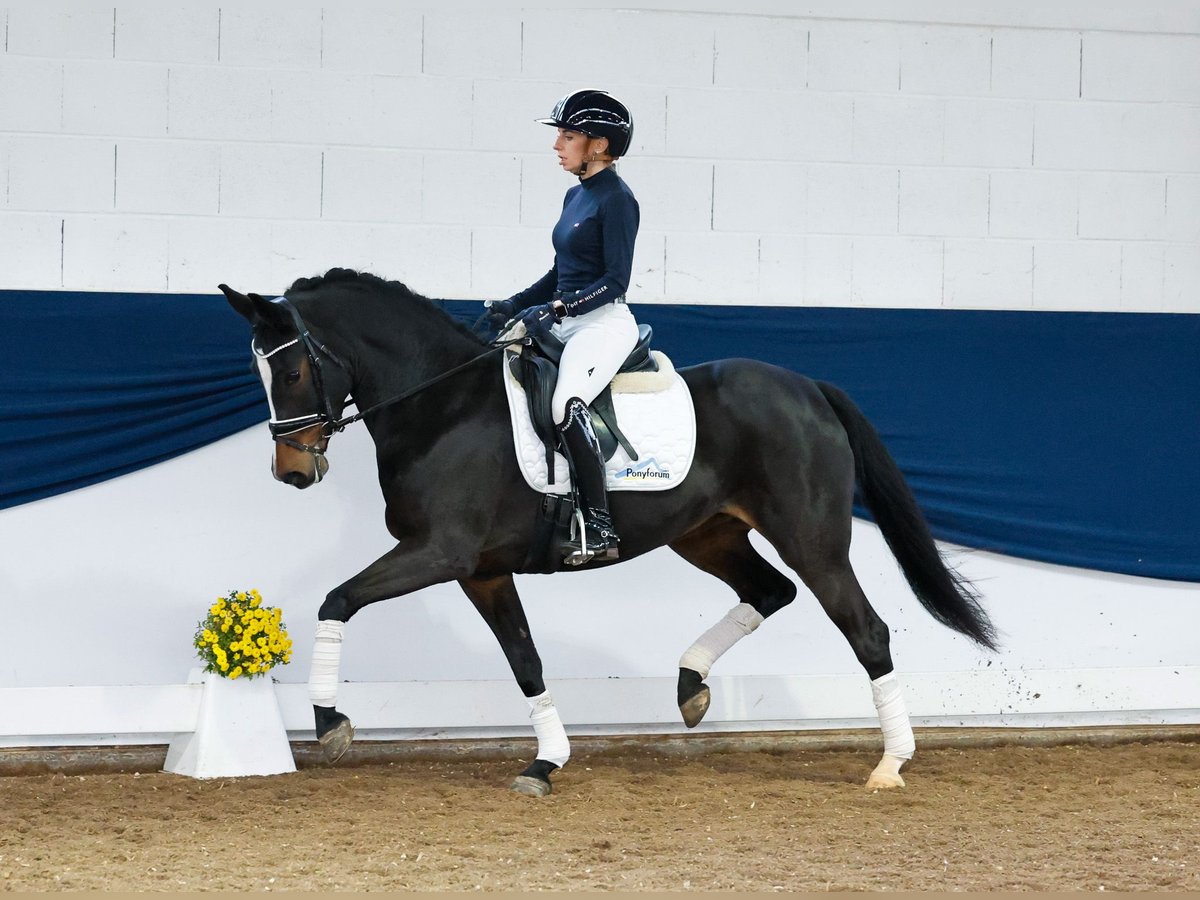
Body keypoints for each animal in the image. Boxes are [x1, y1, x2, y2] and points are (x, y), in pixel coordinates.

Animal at [220, 267, 998, 796]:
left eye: (293, 369)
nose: (292, 471)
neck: (442, 407)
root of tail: (809, 388)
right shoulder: (483, 571)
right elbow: (525, 662)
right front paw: (546, 762)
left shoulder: (439, 552)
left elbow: (337, 600)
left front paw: (330, 724)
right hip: (707, 534)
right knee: (768, 592)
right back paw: (690, 688)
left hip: (812, 539)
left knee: (866, 630)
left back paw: (890, 763)